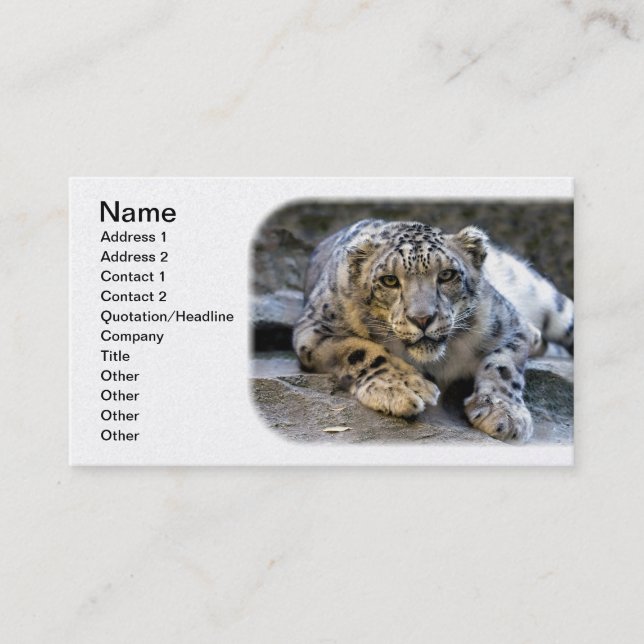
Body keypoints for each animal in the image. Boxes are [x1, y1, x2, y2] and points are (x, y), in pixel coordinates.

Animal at [293, 219, 574, 443]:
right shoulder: (314, 328)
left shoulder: (509, 323)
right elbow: (358, 350)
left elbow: (504, 365)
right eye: (389, 280)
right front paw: (403, 387)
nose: (422, 318)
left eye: (447, 275)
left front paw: (503, 414)